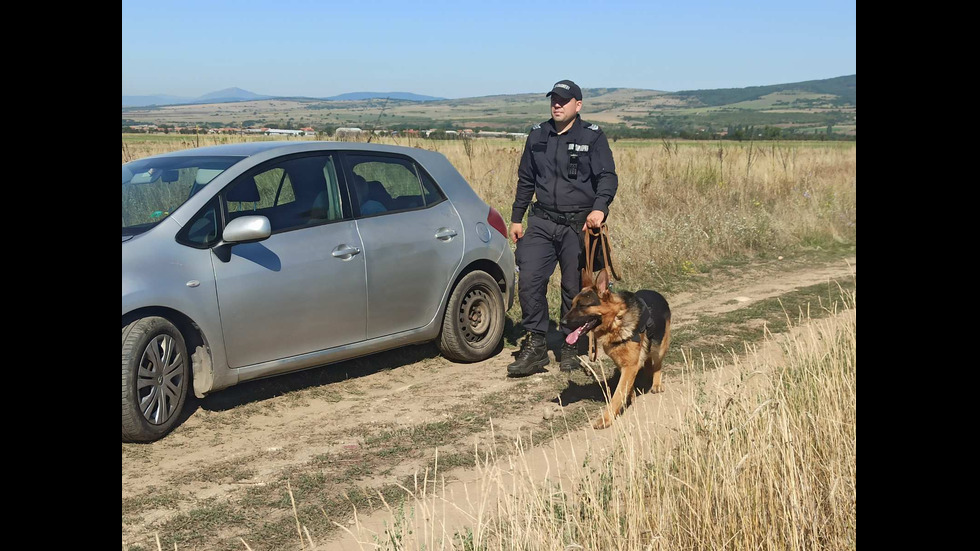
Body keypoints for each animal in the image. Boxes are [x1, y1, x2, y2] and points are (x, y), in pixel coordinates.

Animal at [564, 270, 668, 430]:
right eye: (572, 305)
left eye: (582, 306)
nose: (562, 322)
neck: (615, 321)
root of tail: (656, 293)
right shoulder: (622, 363)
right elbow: (627, 386)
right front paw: (630, 398)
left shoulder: (630, 365)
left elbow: (618, 393)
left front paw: (606, 419)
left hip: (660, 347)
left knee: (657, 364)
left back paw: (656, 383)